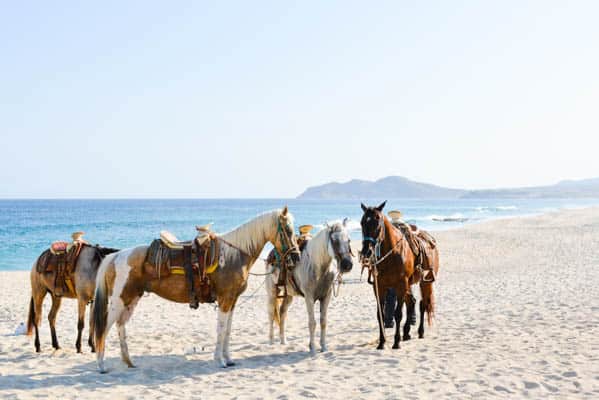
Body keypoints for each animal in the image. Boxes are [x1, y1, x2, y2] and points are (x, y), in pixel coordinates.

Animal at [94, 208, 300, 374]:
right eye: (288, 230)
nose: (296, 256)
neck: (234, 255)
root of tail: (115, 256)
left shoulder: (232, 301)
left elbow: (228, 330)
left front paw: (229, 359)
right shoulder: (225, 300)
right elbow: (221, 329)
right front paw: (219, 360)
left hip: (131, 299)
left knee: (120, 325)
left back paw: (129, 362)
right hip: (119, 300)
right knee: (104, 328)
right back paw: (101, 365)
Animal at [266, 220, 354, 354]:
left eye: (348, 240)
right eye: (334, 240)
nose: (347, 264)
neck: (317, 266)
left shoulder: (326, 296)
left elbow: (323, 322)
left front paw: (323, 346)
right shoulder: (309, 298)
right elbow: (312, 323)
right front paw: (312, 348)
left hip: (289, 296)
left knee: (282, 313)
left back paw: (283, 340)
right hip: (272, 293)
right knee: (271, 314)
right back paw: (271, 342)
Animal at [360, 202, 440, 348]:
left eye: (377, 222)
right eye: (362, 222)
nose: (367, 251)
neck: (392, 254)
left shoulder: (401, 285)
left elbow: (397, 314)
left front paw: (396, 342)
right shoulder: (379, 287)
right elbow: (380, 314)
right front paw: (382, 342)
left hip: (425, 282)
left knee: (423, 304)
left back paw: (420, 331)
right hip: (408, 284)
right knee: (412, 302)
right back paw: (406, 332)